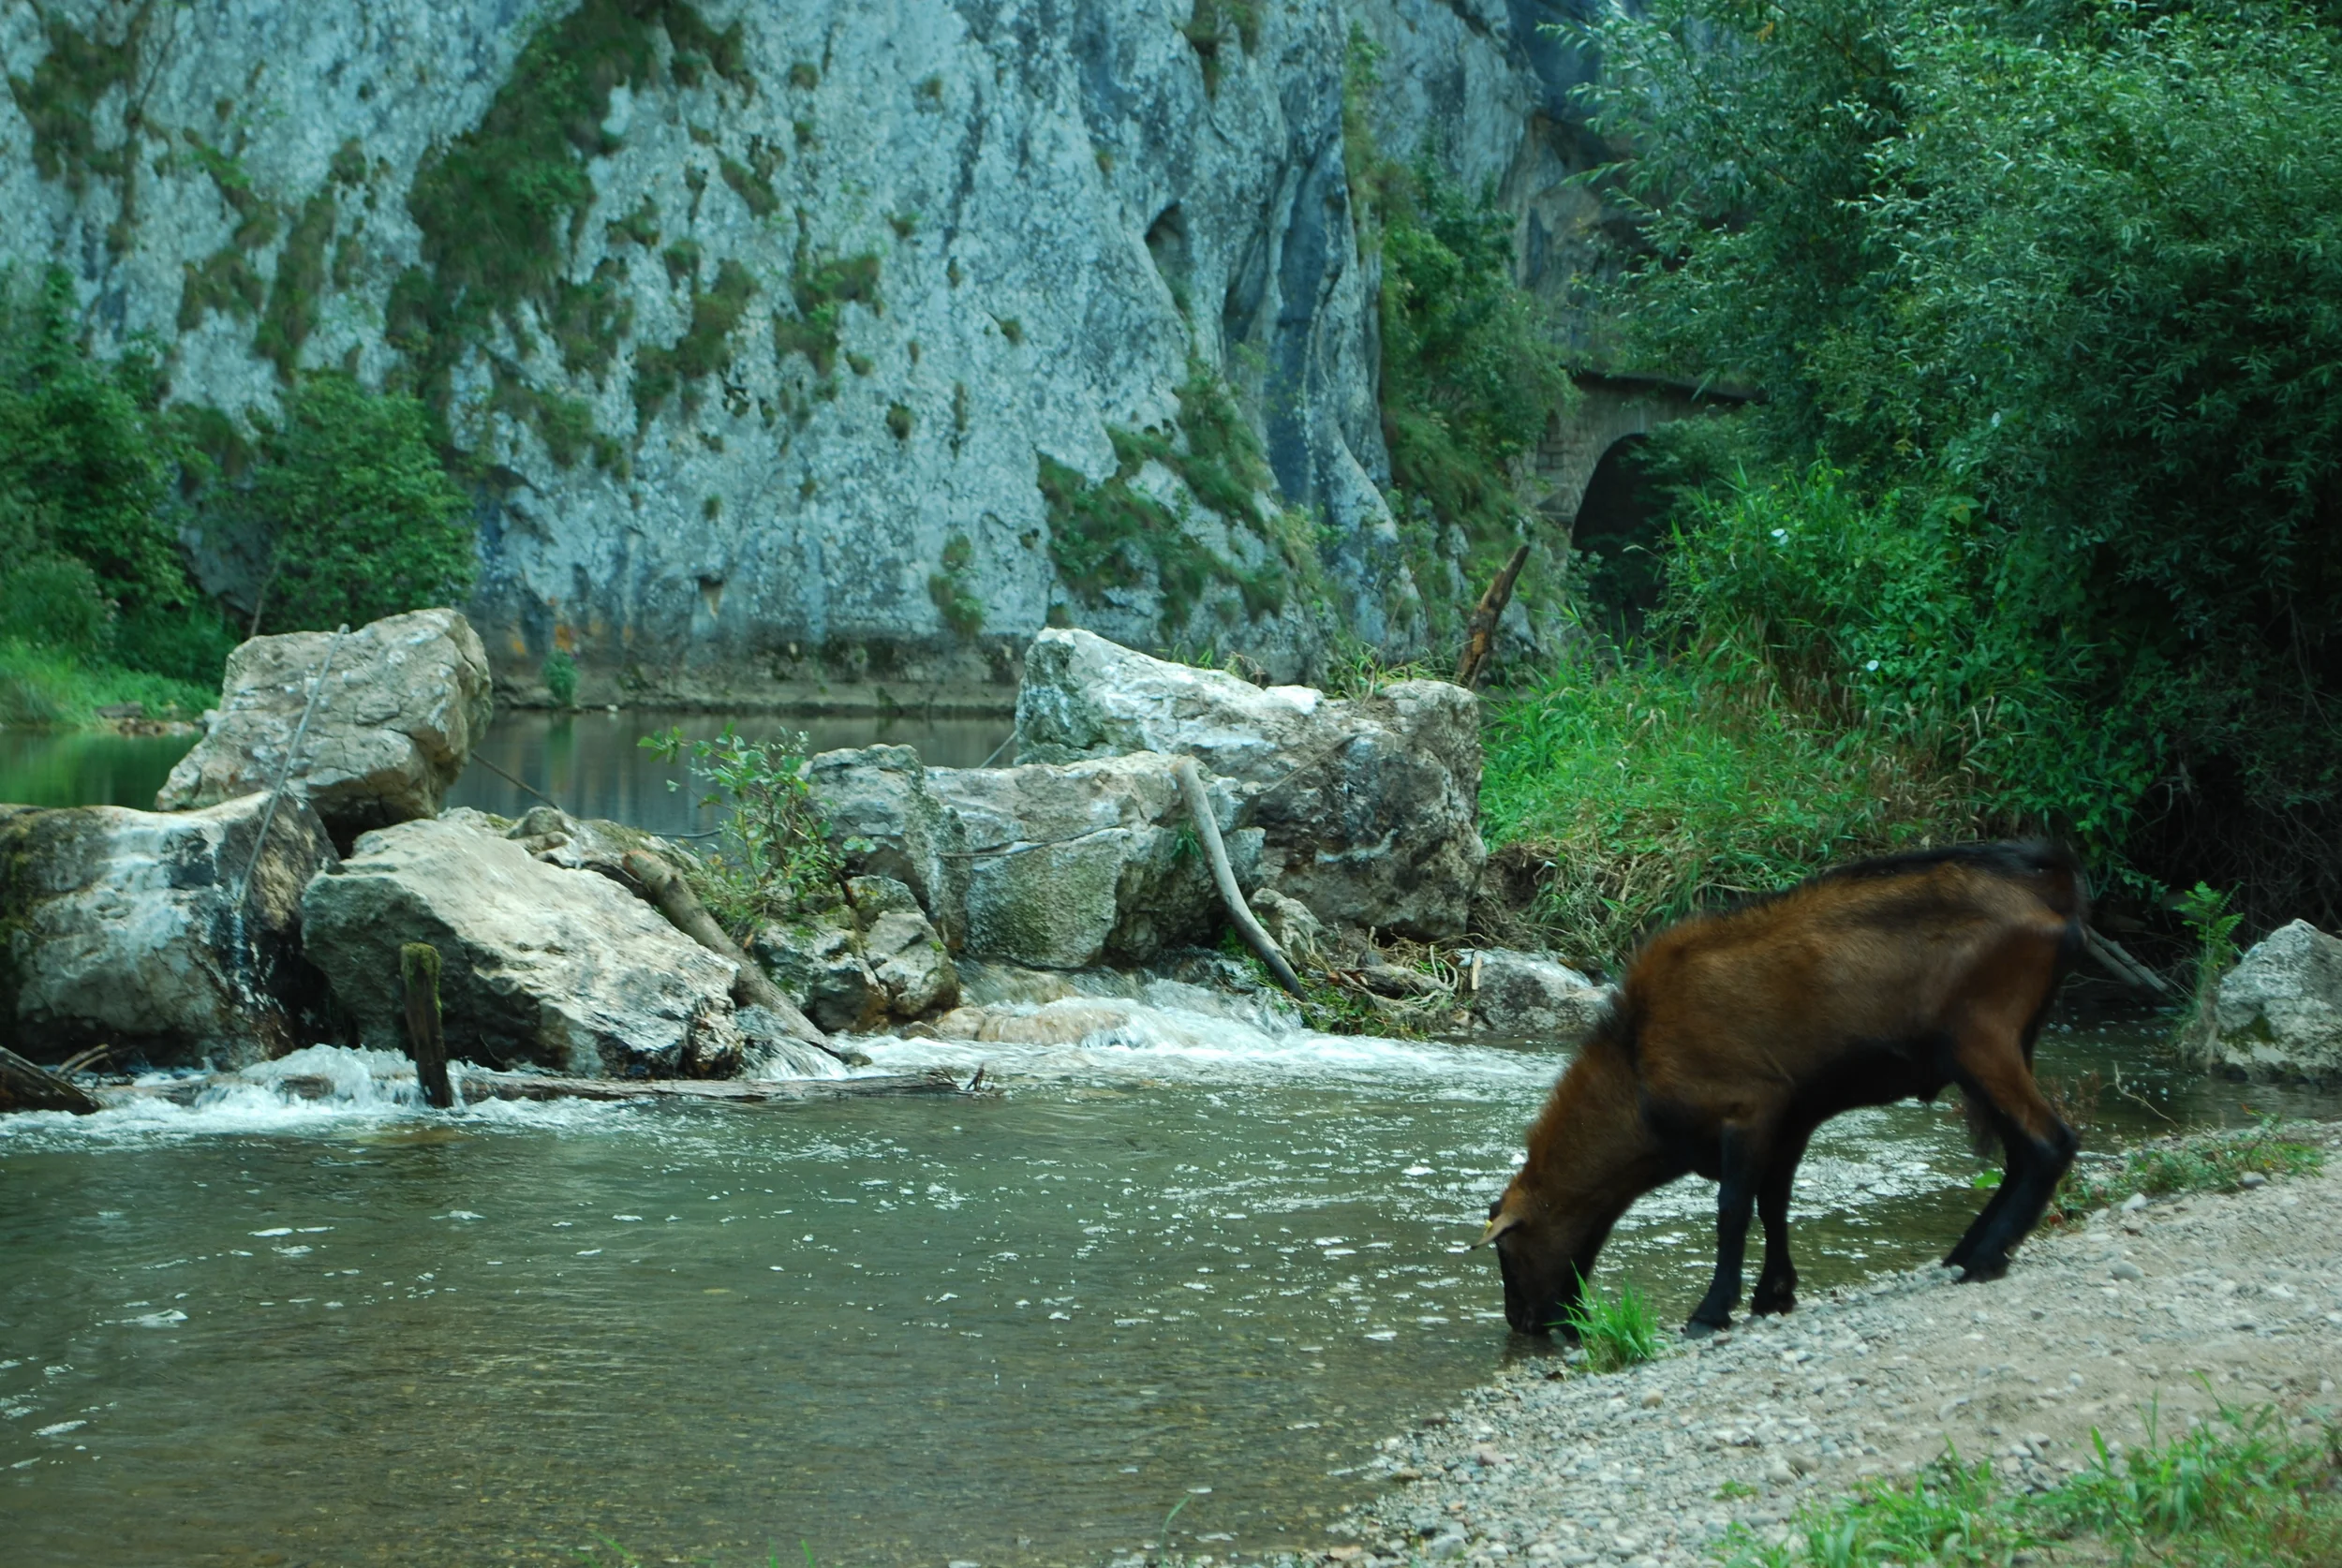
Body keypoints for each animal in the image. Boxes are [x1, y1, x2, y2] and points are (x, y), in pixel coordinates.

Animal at [1480, 842, 2085, 1338]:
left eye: (1506, 1251)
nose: (1522, 1321)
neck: (1636, 1071)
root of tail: (2052, 889)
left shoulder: (1748, 1106)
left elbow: (1733, 1211)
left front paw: (1712, 1310)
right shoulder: (1792, 1119)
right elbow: (1774, 1204)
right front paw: (1773, 1294)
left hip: (1980, 1036)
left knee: (2048, 1142)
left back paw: (1984, 1255)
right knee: (2022, 1153)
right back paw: (1969, 1249)